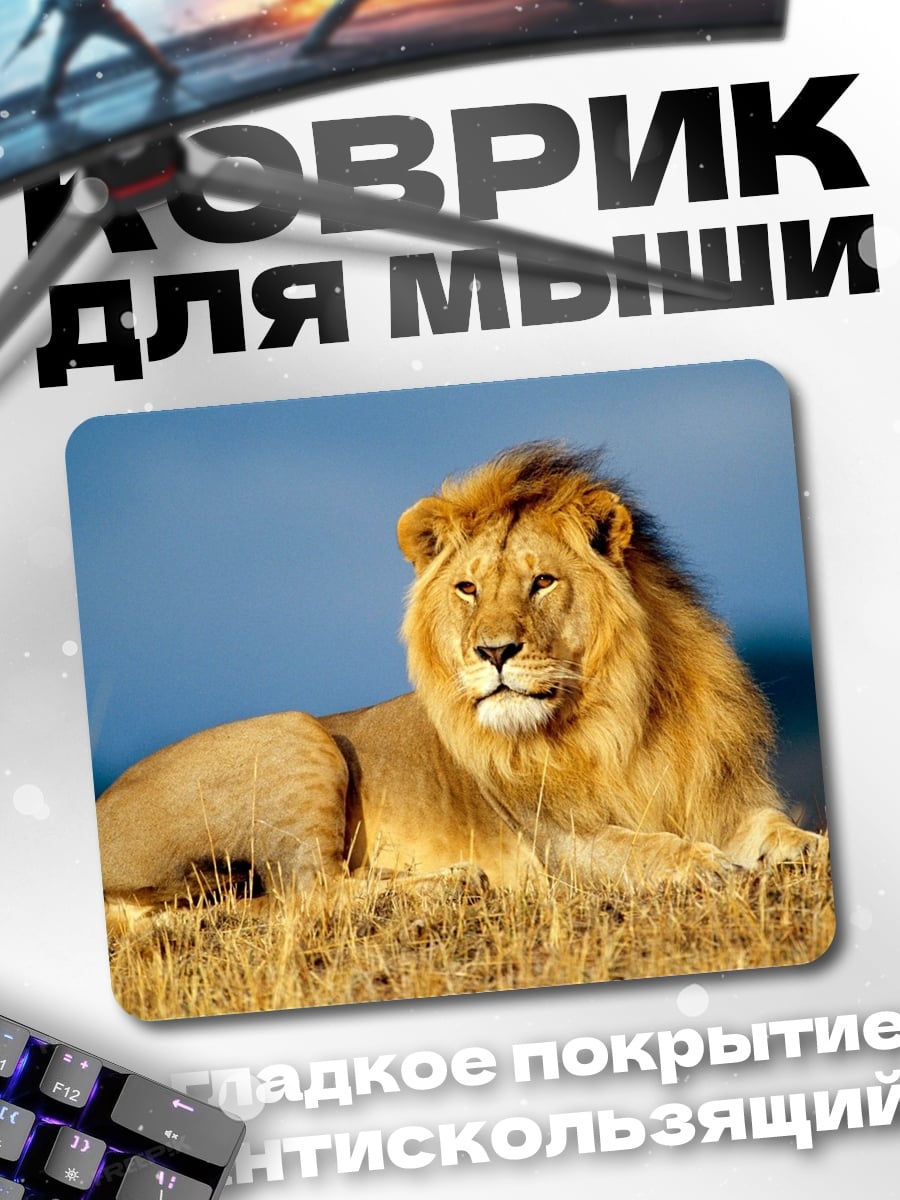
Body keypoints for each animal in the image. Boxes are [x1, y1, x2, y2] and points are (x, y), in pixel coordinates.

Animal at [96, 442, 824, 909]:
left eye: (542, 581)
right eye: (468, 588)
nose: (493, 652)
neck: (622, 717)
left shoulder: (721, 799)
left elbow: (781, 831)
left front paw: (800, 850)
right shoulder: (557, 843)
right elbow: (644, 850)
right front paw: (706, 866)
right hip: (295, 734)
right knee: (307, 897)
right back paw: (453, 884)